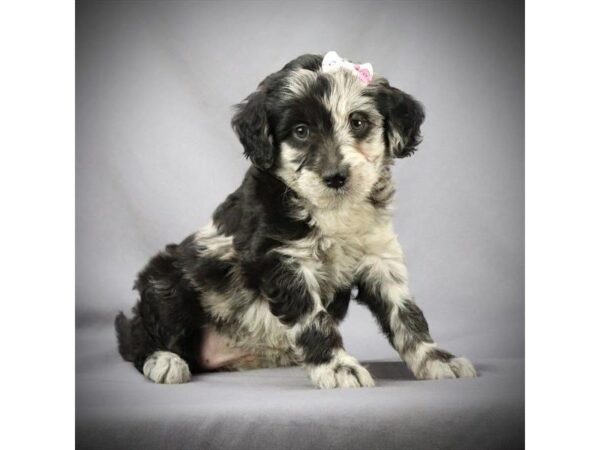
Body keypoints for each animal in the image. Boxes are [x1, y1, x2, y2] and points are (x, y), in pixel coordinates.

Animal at [115, 52, 476, 388]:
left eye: (358, 123)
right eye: (301, 131)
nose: (336, 176)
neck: (332, 211)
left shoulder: (380, 257)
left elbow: (406, 316)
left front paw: (437, 359)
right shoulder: (283, 259)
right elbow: (313, 319)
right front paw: (338, 367)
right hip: (167, 284)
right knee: (138, 339)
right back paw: (164, 360)